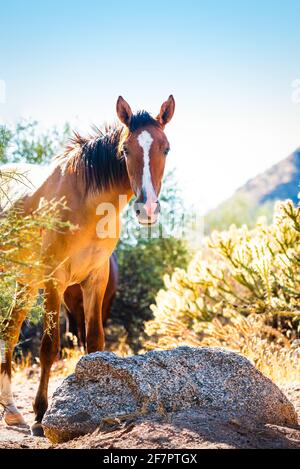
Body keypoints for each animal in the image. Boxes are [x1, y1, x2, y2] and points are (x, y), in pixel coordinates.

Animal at [0, 95, 175, 436]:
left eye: (166, 148)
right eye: (125, 150)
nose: (147, 208)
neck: (85, 200)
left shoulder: (95, 280)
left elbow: (94, 342)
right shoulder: (55, 280)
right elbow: (49, 347)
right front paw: (41, 415)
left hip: (25, 283)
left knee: (9, 333)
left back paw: (12, 412)